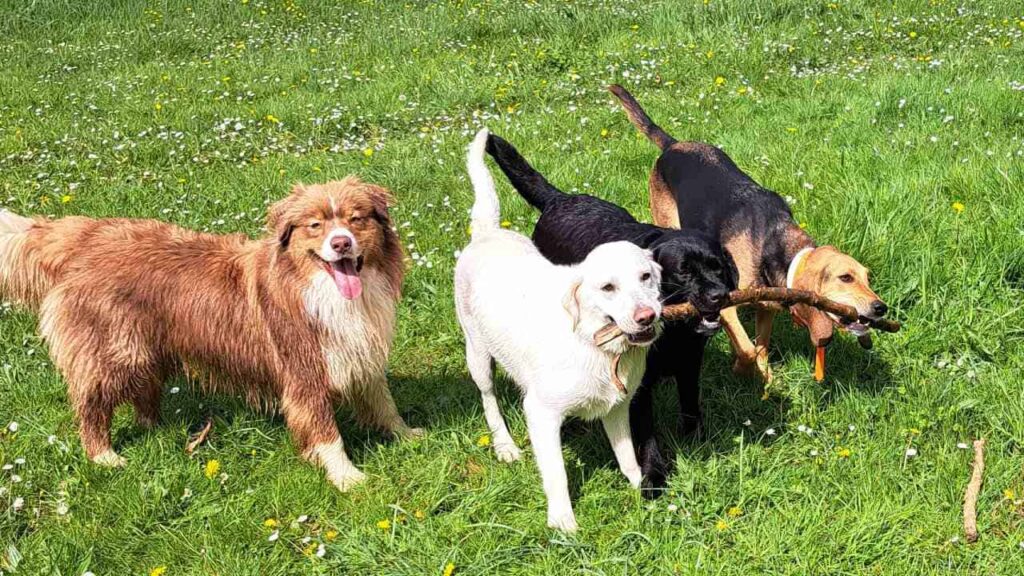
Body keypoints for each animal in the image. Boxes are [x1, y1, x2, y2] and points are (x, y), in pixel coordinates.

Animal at [0, 178, 419, 487]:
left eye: (357, 219)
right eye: (315, 225)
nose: (341, 242)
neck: (321, 290)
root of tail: (82, 236)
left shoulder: (360, 350)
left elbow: (382, 401)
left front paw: (408, 435)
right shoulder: (304, 371)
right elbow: (325, 431)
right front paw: (347, 477)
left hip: (147, 347)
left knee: (143, 393)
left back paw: (157, 429)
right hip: (114, 351)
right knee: (91, 406)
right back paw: (104, 456)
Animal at [456, 126, 663, 528]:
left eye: (646, 276)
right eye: (608, 287)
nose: (648, 316)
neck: (597, 346)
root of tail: (488, 233)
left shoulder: (617, 408)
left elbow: (628, 456)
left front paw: (638, 488)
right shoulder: (541, 412)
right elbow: (556, 472)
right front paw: (563, 521)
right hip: (477, 353)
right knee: (489, 398)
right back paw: (504, 445)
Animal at [481, 132, 737, 491]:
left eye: (719, 267)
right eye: (683, 272)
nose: (718, 296)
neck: (672, 335)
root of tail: (559, 199)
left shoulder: (689, 363)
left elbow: (690, 406)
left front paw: (699, 442)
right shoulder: (637, 386)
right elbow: (646, 433)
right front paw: (653, 477)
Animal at [606, 84, 888, 381]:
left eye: (868, 278)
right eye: (845, 278)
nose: (881, 308)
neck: (776, 244)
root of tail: (673, 145)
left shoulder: (767, 308)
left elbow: (761, 348)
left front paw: (765, 379)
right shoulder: (727, 304)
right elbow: (748, 349)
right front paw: (741, 367)